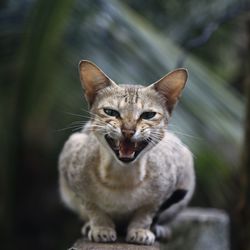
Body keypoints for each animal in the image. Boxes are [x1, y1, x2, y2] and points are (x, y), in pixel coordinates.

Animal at [58, 60, 195, 244]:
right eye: (110, 112)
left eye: (148, 115)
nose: (128, 131)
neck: (122, 178)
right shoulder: (74, 173)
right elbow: (93, 208)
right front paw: (101, 227)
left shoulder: (161, 194)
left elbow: (146, 213)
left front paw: (140, 230)